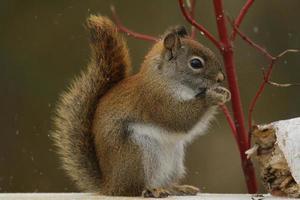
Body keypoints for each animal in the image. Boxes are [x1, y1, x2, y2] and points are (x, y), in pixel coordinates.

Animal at [52, 15, 230, 197]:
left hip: (173, 160)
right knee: (133, 189)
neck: (164, 79)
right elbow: (179, 119)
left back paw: (177, 188)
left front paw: (223, 92)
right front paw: (212, 96)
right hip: (137, 154)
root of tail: (110, 186)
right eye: (195, 63)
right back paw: (151, 190)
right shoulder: (156, 102)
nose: (220, 78)